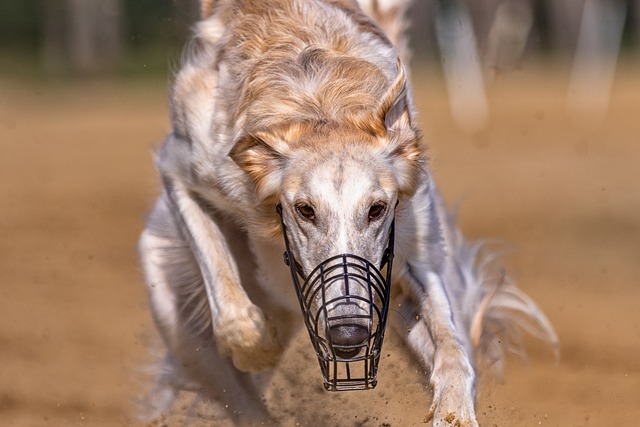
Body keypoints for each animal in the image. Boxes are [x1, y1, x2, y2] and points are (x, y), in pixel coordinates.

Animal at [138, 1, 556, 426]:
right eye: (304, 210)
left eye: (377, 209)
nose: (348, 339)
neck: (320, 103)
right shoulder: (183, 167)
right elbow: (230, 306)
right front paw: (258, 343)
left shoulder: (411, 252)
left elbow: (451, 346)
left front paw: (454, 411)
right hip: (178, 318)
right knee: (240, 398)